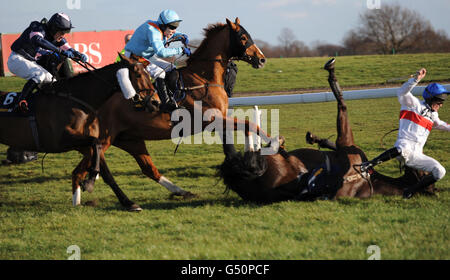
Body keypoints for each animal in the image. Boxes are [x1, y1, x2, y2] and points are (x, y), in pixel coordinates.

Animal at [0, 55, 159, 207]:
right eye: (138, 75)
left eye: (148, 74)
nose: (156, 102)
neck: (75, 100)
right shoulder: (61, 140)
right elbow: (95, 144)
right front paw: (90, 180)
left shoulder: (84, 143)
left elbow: (105, 169)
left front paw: (127, 202)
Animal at [70, 17, 282, 210]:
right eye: (243, 37)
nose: (262, 59)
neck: (202, 78)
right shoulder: (212, 119)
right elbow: (249, 124)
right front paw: (273, 142)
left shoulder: (220, 119)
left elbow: (241, 132)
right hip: (104, 140)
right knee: (80, 172)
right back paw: (80, 200)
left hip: (129, 140)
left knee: (147, 169)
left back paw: (179, 191)